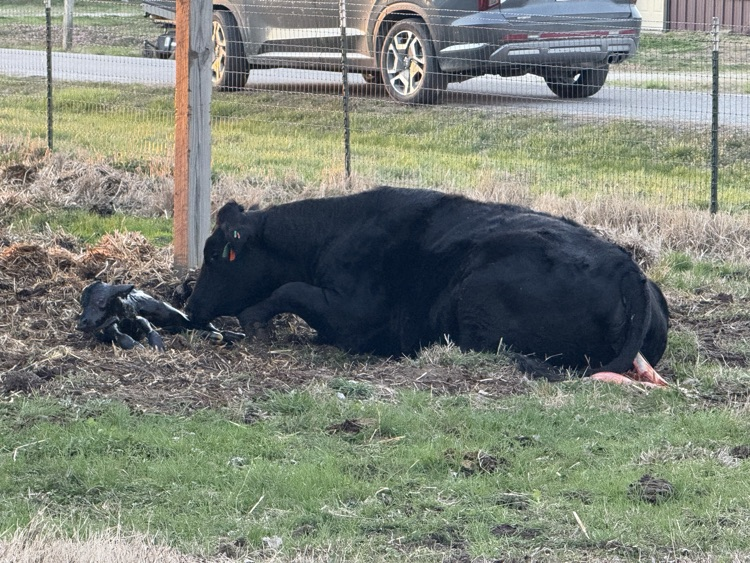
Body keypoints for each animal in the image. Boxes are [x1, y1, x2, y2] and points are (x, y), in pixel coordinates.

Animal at [77, 281, 243, 351]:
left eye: (101, 300)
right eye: (83, 303)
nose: (82, 323)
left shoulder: (138, 318)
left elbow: (148, 327)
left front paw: (157, 345)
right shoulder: (109, 328)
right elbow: (121, 336)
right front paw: (138, 346)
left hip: (171, 312)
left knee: (197, 325)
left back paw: (230, 335)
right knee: (188, 329)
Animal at [185, 187, 669, 381]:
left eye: (214, 255)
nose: (191, 308)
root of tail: (626, 266)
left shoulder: (354, 317)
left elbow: (288, 291)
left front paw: (253, 319)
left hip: (474, 299)